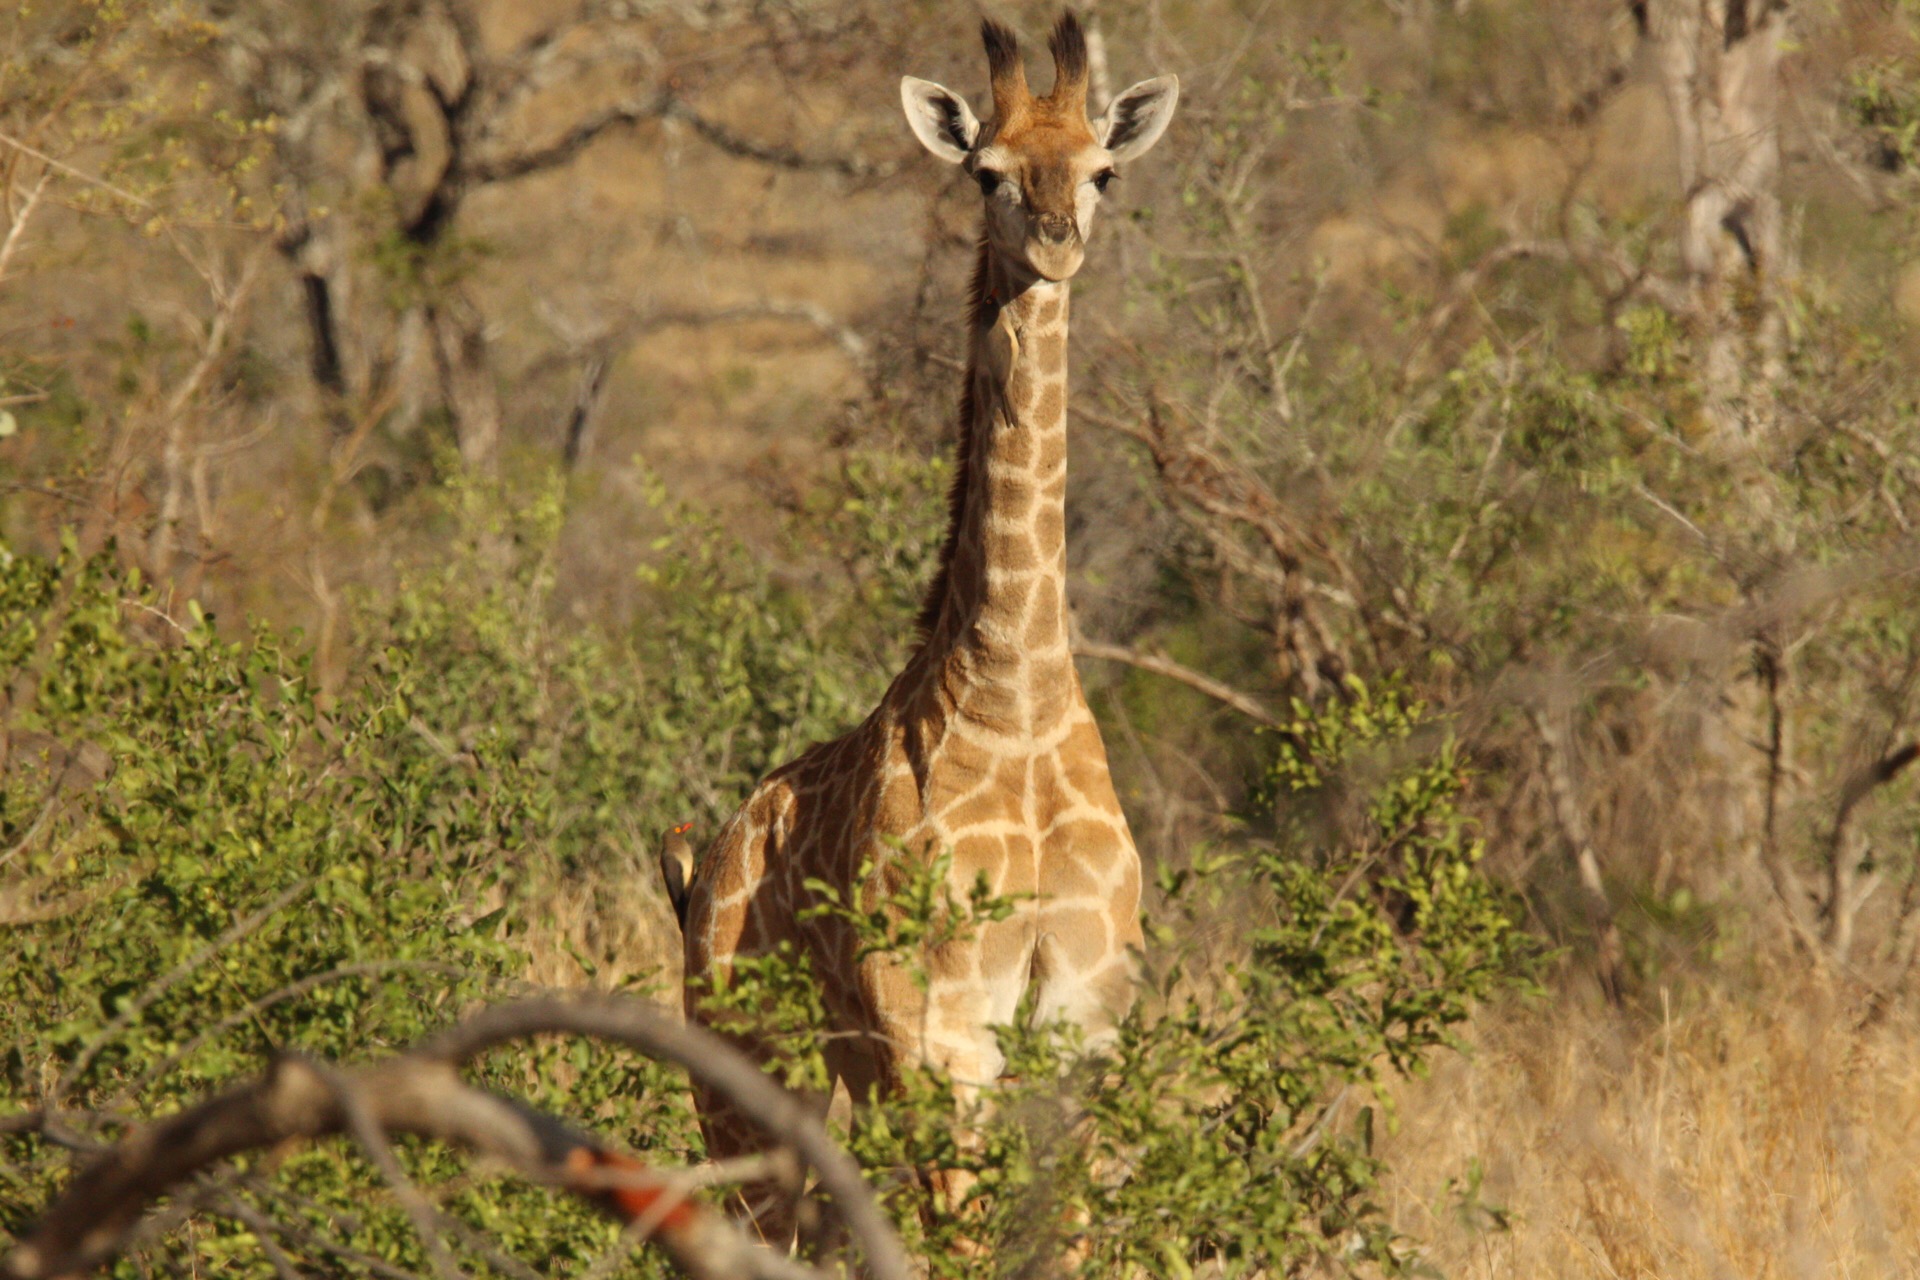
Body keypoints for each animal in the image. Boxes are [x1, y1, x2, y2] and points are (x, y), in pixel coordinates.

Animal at [683, 10, 1175, 1243]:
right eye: (987, 172)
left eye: (1101, 171)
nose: (1055, 241)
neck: (1018, 695)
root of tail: (704, 862)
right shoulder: (936, 1034)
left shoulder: (1085, 1027)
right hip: (748, 1070)